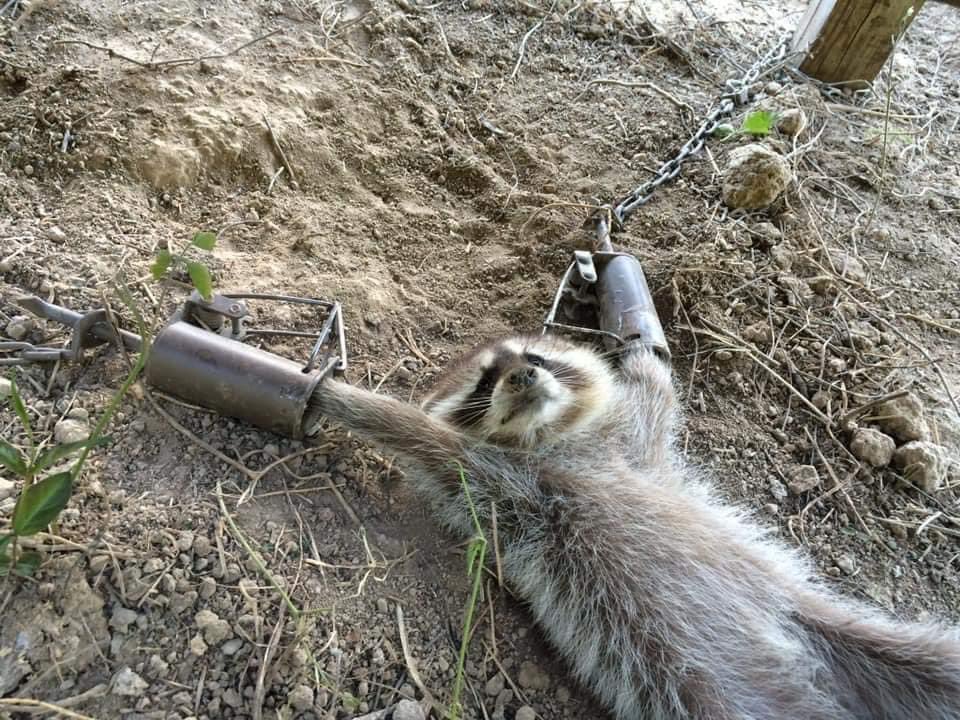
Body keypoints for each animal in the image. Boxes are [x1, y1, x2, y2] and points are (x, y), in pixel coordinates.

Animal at [309, 334, 960, 720]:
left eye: (536, 359)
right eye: (485, 382)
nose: (523, 378)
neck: (553, 441)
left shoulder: (637, 452)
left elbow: (656, 398)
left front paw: (644, 352)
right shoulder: (501, 486)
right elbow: (419, 436)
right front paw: (341, 395)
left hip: (822, 620)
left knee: (934, 661)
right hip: (708, 690)